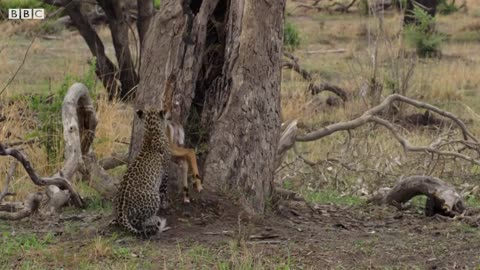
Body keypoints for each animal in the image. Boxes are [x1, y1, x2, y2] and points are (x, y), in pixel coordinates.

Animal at [113, 107, 172, 236]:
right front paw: (166, 205)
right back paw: (155, 219)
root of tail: (121, 211)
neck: (151, 131)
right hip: (154, 197)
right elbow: (164, 190)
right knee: (140, 221)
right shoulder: (166, 172)